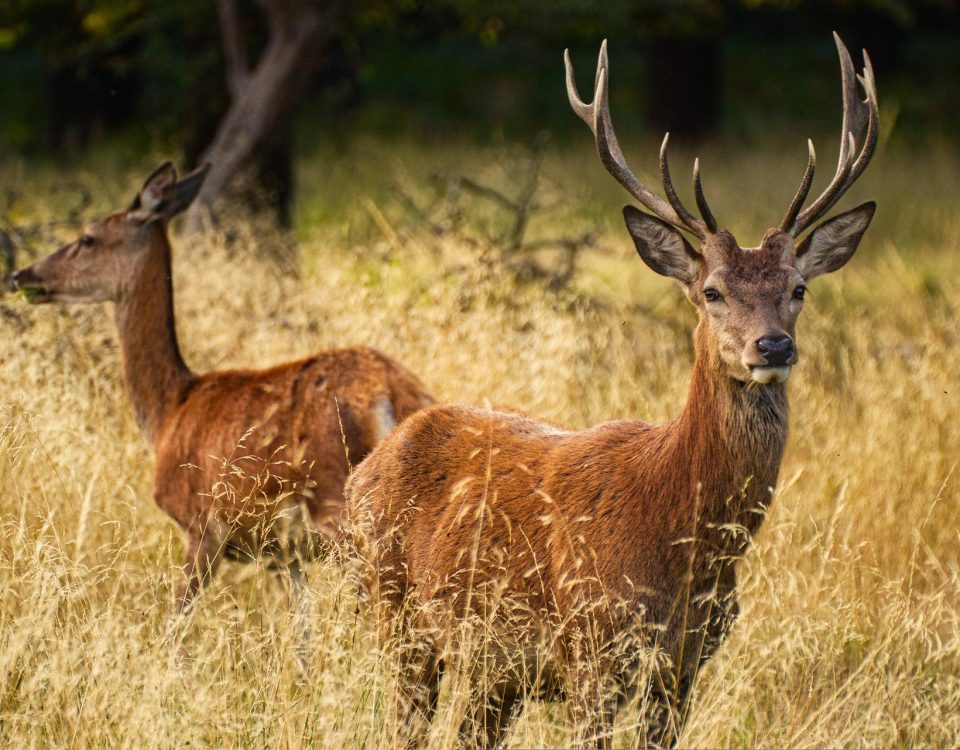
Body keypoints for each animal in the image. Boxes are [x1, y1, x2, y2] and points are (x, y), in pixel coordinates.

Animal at [13, 163, 434, 636]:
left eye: (87, 238)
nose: (22, 275)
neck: (169, 410)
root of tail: (392, 393)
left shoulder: (202, 527)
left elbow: (174, 625)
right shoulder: (282, 554)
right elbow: (301, 635)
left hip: (338, 503)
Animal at [348, 32, 880, 748]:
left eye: (799, 289)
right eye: (712, 291)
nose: (772, 346)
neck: (684, 545)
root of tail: (368, 467)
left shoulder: (686, 665)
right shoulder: (590, 648)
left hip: (491, 669)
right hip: (395, 613)